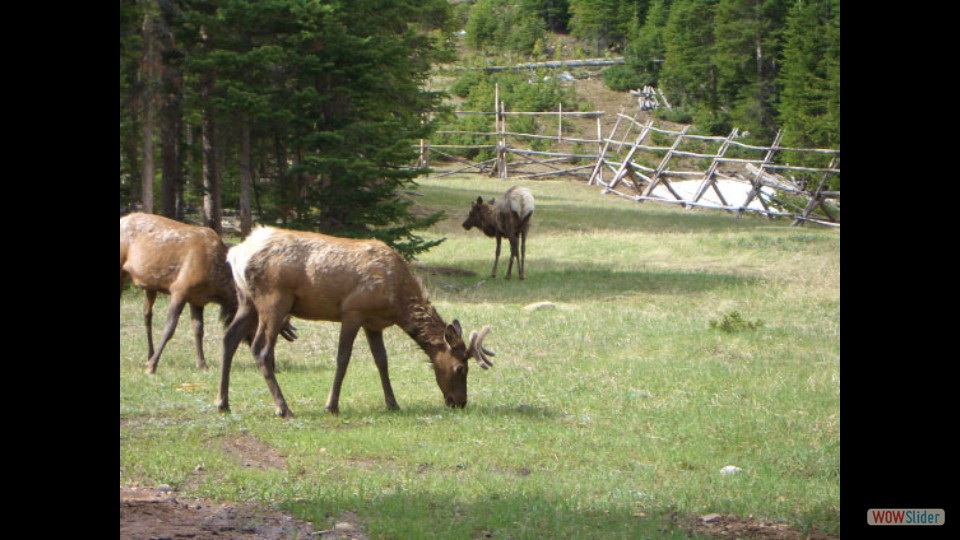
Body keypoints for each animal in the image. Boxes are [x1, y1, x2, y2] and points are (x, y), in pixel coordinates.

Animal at [120, 213, 292, 374]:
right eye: (259, 328)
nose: (273, 365)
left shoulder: (197, 299)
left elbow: (198, 330)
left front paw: (202, 364)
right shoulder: (179, 289)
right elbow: (169, 328)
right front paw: (152, 366)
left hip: (150, 286)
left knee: (147, 315)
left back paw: (149, 354)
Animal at [213, 225, 492, 418]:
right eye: (461, 368)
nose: (459, 402)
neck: (397, 302)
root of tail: (236, 254)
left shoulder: (373, 323)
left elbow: (382, 361)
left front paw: (393, 403)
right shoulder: (353, 311)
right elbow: (343, 359)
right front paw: (331, 405)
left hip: (246, 301)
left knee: (229, 338)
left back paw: (222, 402)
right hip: (274, 299)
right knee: (260, 348)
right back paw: (283, 408)